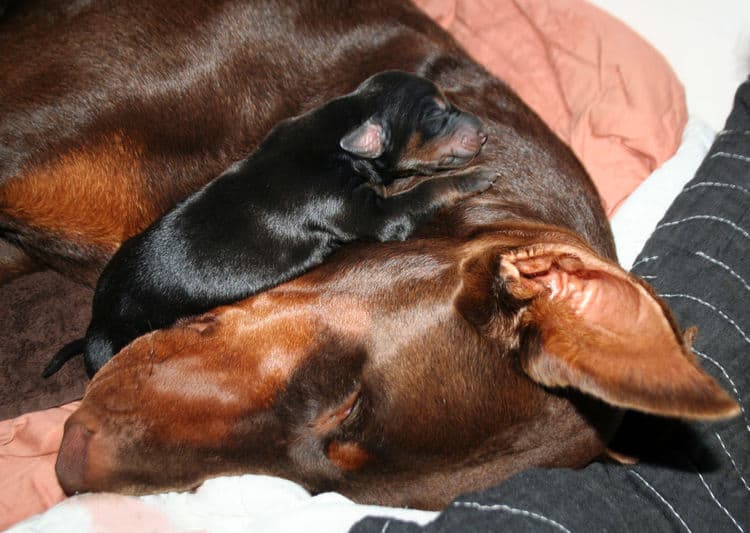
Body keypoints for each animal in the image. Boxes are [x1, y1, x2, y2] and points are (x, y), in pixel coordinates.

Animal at [45, 70, 494, 376]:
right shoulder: (370, 212)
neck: (342, 127)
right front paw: (474, 176)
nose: (485, 131)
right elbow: (423, 192)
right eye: (435, 117)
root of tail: (94, 326)